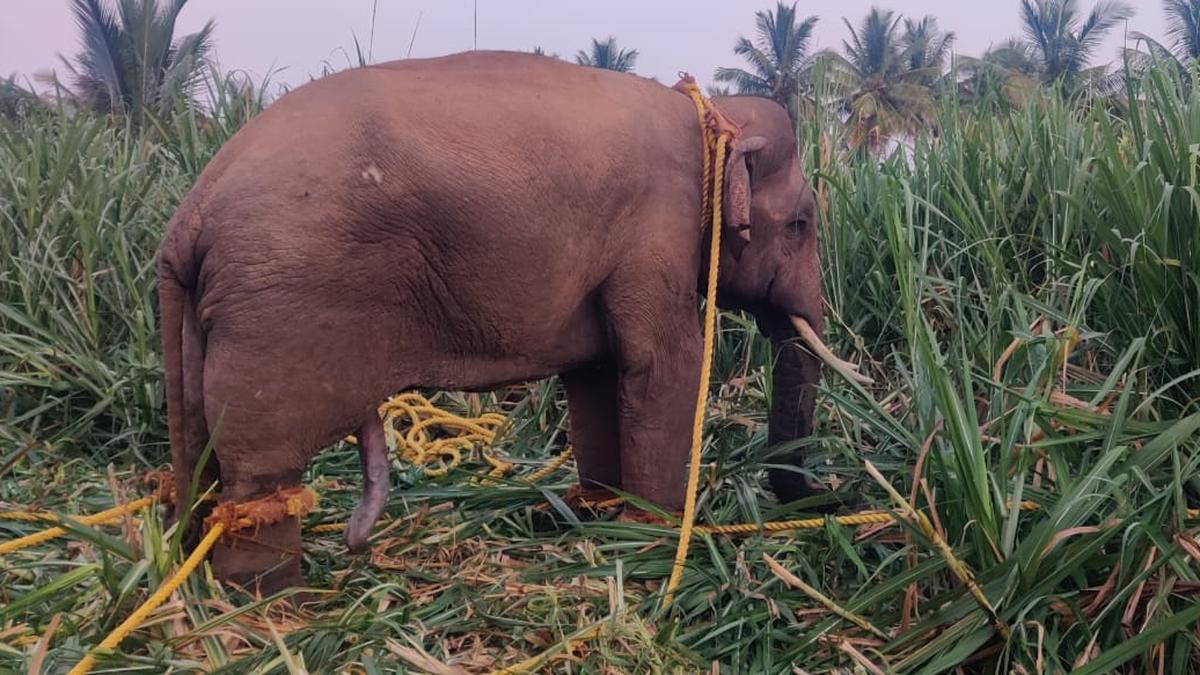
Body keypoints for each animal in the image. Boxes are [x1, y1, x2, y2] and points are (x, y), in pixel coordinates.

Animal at [157, 50, 856, 593]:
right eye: (801, 225)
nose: (834, 499)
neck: (708, 114)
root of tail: (190, 213)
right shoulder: (657, 230)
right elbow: (661, 364)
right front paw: (651, 539)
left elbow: (597, 372)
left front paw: (600, 517)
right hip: (279, 308)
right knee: (262, 468)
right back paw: (275, 600)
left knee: (202, 449)